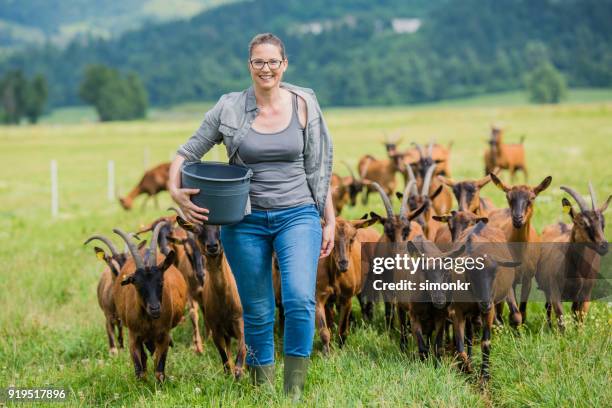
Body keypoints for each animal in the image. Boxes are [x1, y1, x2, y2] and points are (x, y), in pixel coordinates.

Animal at [110, 225, 185, 380]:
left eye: (161, 282)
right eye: (137, 285)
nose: (155, 308)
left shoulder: (164, 334)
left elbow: (159, 370)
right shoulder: (134, 336)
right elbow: (139, 371)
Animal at [176, 217, 245, 380]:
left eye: (220, 227)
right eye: (197, 230)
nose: (213, 246)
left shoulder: (239, 321)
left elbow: (241, 351)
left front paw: (240, 373)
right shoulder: (216, 329)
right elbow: (225, 361)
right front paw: (230, 376)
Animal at [536, 183, 608, 330]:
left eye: (603, 224)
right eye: (582, 223)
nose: (604, 246)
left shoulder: (585, 295)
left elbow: (580, 318)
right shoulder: (555, 292)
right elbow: (561, 320)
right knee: (548, 307)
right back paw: (549, 328)